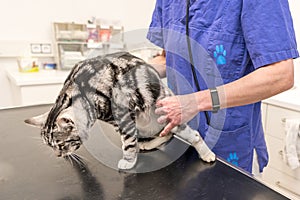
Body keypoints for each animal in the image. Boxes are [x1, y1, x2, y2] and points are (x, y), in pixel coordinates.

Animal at [24, 52, 214, 170]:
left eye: (61, 145)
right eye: (50, 146)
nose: (58, 155)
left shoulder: (124, 118)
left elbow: (128, 143)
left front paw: (129, 161)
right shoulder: (120, 122)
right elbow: (131, 141)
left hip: (165, 116)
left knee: (194, 135)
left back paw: (207, 154)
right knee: (165, 135)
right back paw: (147, 144)